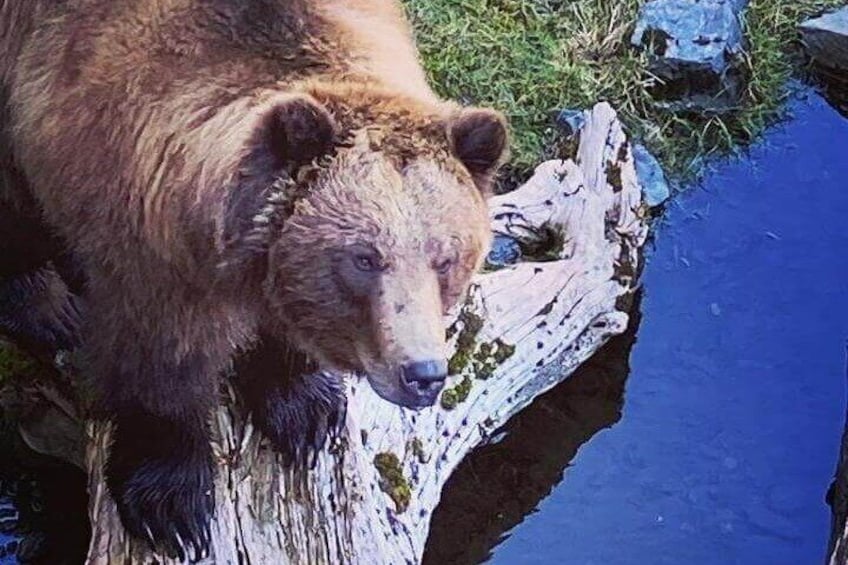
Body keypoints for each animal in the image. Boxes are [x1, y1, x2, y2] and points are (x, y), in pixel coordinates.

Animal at [0, 0, 506, 556]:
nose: (423, 374)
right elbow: (160, 358)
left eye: (445, 258)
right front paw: (171, 504)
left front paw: (305, 412)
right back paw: (49, 308)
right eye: (364, 258)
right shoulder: (142, 231)